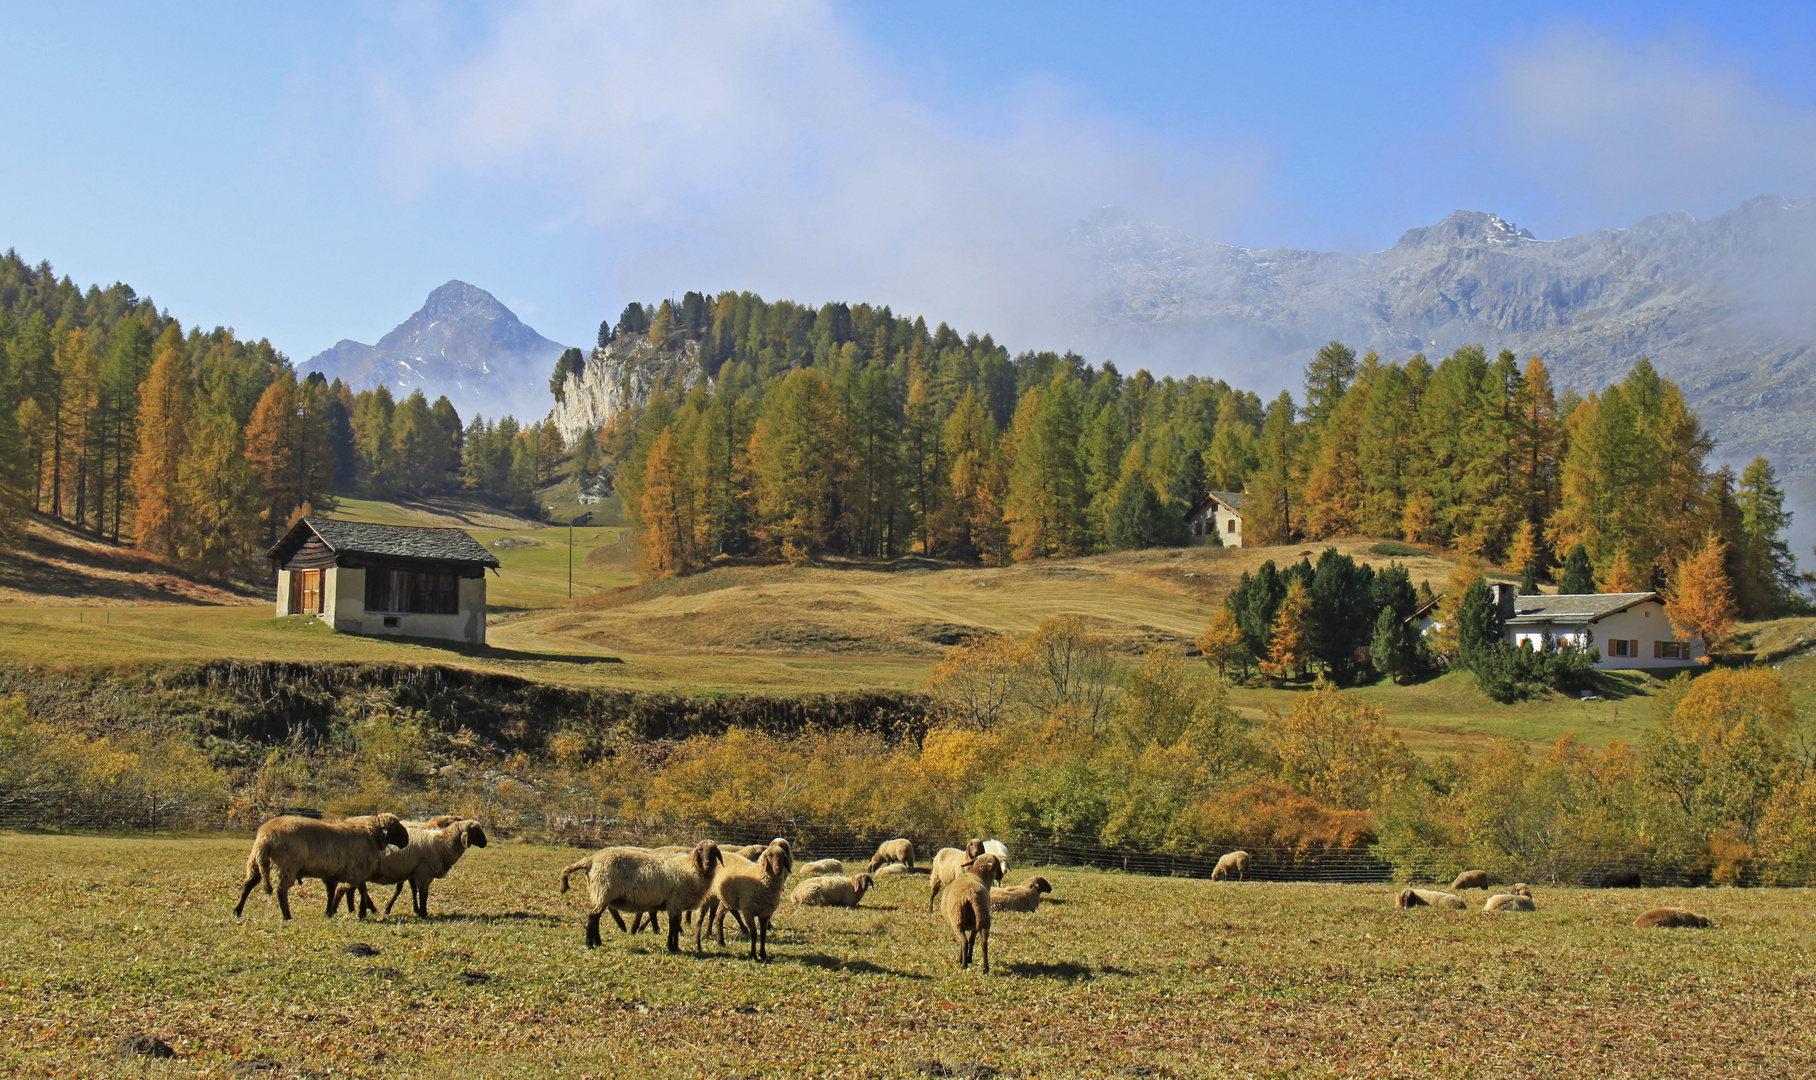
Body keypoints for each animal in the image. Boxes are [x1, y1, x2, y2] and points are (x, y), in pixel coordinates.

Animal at [232, 813, 410, 922]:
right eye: (395, 828)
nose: (407, 841)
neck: (370, 835)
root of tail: (266, 836)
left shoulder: (332, 874)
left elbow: (331, 893)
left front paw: (328, 913)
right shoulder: (355, 872)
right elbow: (362, 890)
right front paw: (362, 912)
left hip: (256, 862)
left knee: (248, 885)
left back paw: (237, 911)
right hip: (287, 865)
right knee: (281, 890)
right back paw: (287, 916)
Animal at [343, 824, 486, 918]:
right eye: (475, 831)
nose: (485, 843)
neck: (442, 843)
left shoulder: (415, 872)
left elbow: (415, 891)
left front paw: (418, 911)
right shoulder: (423, 873)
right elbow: (423, 894)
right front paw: (423, 913)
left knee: (351, 889)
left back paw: (354, 909)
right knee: (356, 889)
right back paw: (365, 909)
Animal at [555, 842, 719, 951]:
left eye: (714, 851)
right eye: (701, 850)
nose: (707, 864)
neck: (690, 867)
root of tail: (592, 860)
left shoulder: (673, 905)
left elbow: (673, 925)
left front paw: (671, 946)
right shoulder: (674, 902)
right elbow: (673, 926)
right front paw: (674, 947)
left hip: (600, 893)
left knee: (596, 917)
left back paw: (598, 942)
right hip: (603, 891)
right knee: (593, 917)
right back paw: (590, 944)